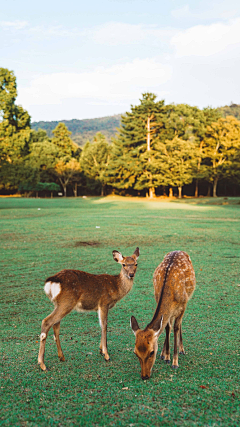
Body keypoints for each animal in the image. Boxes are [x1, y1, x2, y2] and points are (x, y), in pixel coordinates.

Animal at [130, 251, 196, 382]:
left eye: (151, 352)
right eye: (135, 353)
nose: (144, 376)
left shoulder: (183, 304)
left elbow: (176, 328)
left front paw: (175, 362)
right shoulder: (159, 299)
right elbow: (166, 327)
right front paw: (166, 356)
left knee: (179, 324)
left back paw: (182, 350)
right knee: (168, 324)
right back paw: (163, 354)